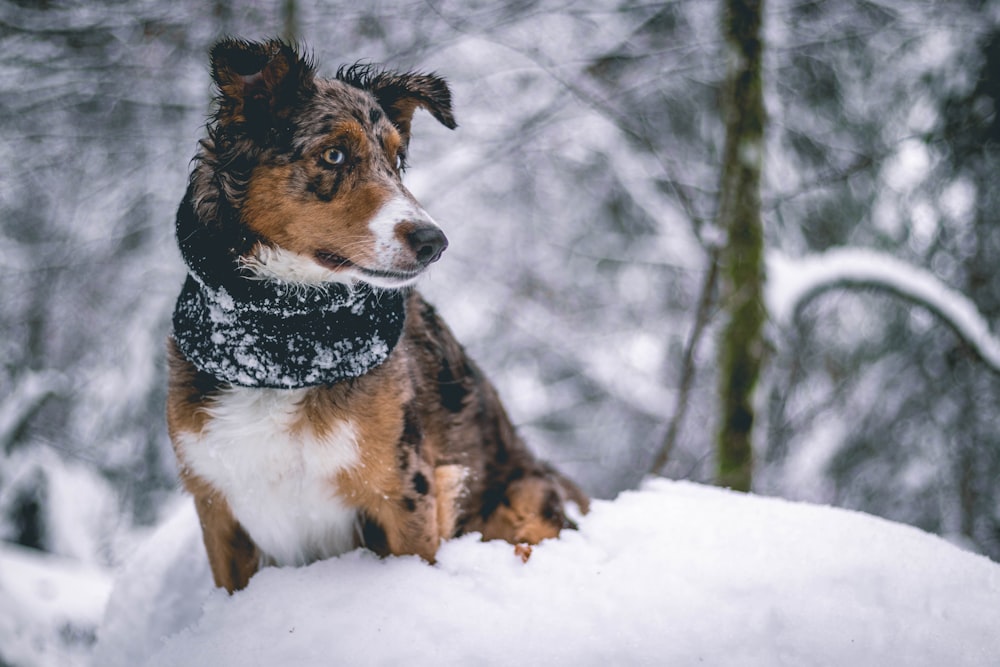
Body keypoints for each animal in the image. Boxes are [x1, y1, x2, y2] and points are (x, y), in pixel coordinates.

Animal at [164, 39, 584, 592]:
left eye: (397, 158)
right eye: (334, 154)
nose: (433, 242)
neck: (285, 338)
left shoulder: (404, 489)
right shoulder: (217, 507)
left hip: (523, 500)